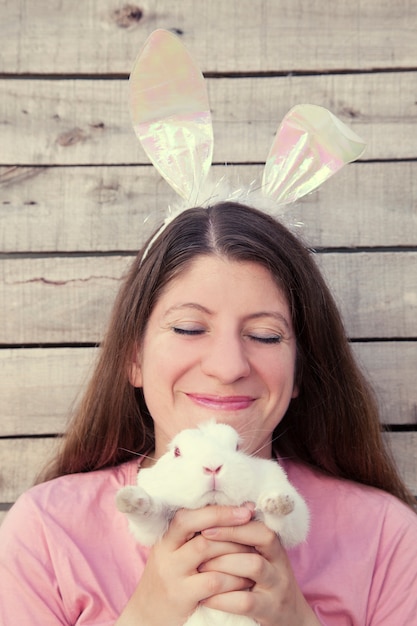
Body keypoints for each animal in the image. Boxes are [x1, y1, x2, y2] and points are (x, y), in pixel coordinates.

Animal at [115, 420, 308, 624]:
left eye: (237, 447)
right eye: (177, 451)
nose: (213, 467)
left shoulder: (295, 521)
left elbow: (288, 520)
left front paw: (278, 502)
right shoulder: (155, 523)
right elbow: (151, 512)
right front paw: (128, 499)